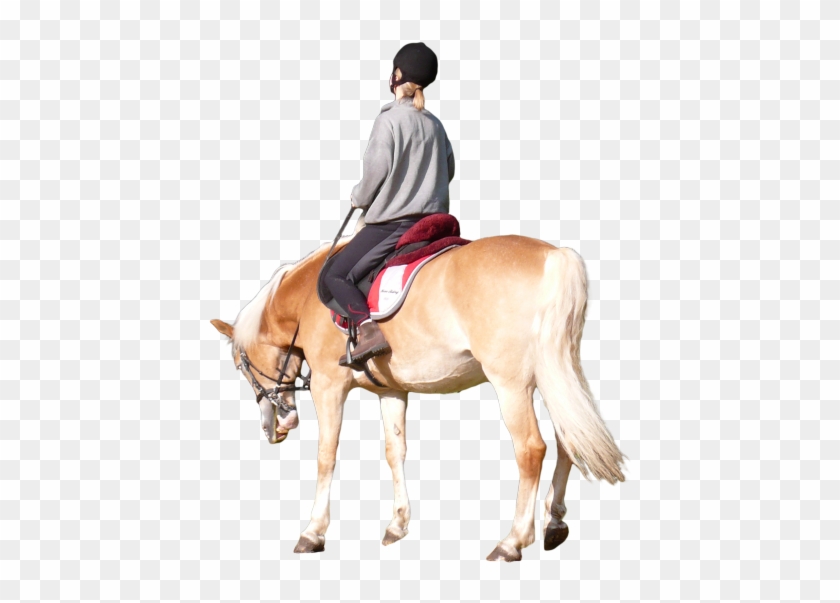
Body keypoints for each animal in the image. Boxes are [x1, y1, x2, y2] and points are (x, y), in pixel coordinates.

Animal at [210, 228, 626, 561]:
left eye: (240, 365)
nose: (274, 426)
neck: (306, 300)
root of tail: (554, 255)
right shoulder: (392, 391)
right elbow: (395, 452)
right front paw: (397, 524)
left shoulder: (328, 386)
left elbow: (326, 457)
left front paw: (313, 532)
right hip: (555, 372)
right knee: (570, 439)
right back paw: (553, 522)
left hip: (512, 383)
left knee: (531, 449)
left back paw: (513, 541)